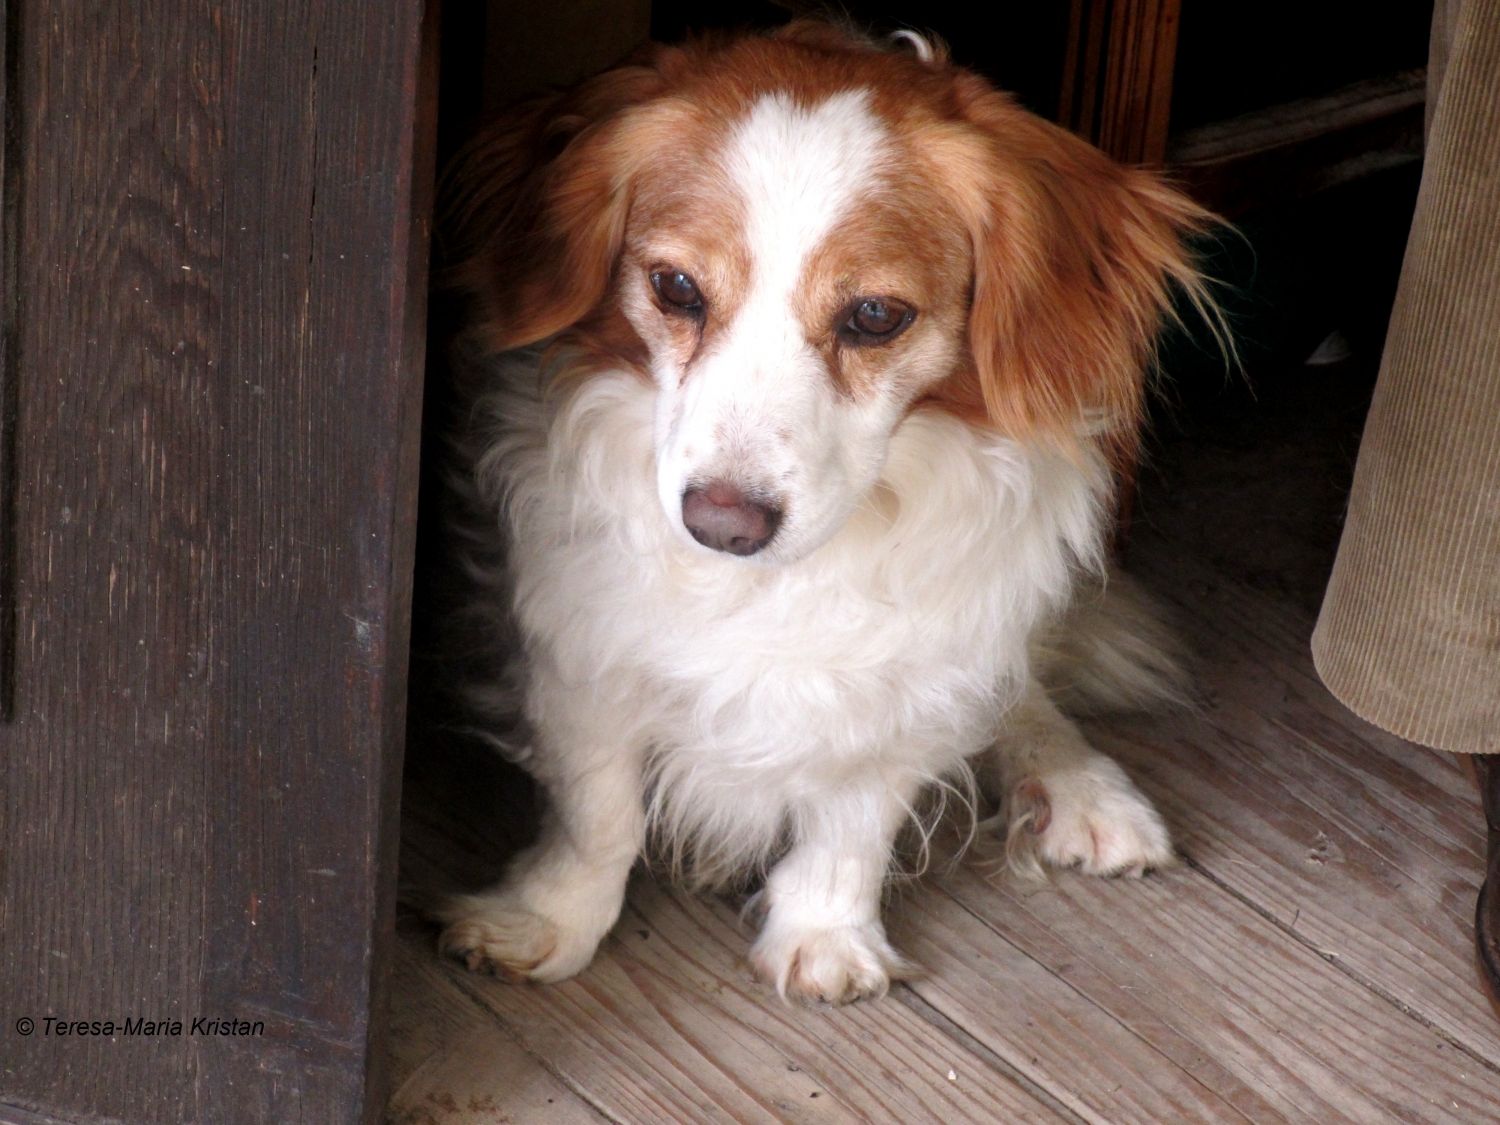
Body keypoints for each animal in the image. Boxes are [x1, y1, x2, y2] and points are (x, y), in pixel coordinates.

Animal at [432, 19, 1218, 1002]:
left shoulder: (910, 678)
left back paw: (1079, 786)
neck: (775, 582)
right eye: (675, 288)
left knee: (1021, 690)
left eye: (876, 315)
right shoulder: (582, 649)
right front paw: (547, 921)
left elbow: (854, 819)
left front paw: (823, 937)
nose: (722, 522)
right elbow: (596, 813)